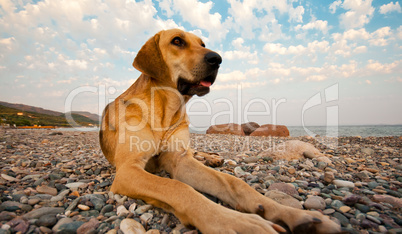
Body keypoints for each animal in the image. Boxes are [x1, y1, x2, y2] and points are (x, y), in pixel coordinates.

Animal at [99, 28, 340, 233]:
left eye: (202, 44)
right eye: (177, 41)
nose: (217, 59)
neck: (166, 110)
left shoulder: (180, 160)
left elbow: (234, 183)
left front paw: (292, 214)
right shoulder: (128, 170)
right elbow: (179, 188)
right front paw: (238, 222)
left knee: (199, 154)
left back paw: (213, 158)